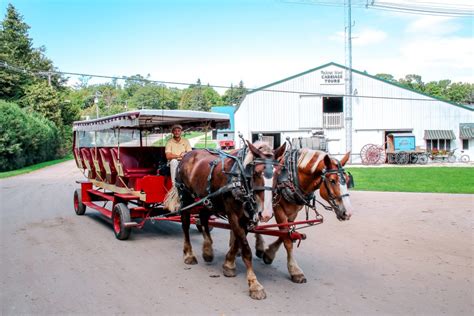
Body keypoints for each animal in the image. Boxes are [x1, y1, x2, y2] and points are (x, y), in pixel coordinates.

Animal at [166, 142, 286, 300]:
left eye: (278, 174)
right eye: (256, 173)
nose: (265, 214)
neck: (240, 179)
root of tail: (186, 155)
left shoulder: (246, 217)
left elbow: (238, 242)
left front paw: (228, 264)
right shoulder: (233, 215)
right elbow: (246, 250)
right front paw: (254, 284)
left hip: (208, 200)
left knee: (203, 217)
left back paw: (208, 250)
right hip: (186, 198)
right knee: (185, 225)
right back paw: (189, 254)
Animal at [254, 149, 354, 282]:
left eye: (347, 180)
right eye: (332, 180)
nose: (348, 212)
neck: (292, 177)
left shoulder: (293, 212)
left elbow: (286, 234)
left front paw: (269, 254)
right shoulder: (278, 209)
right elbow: (287, 240)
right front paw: (295, 270)